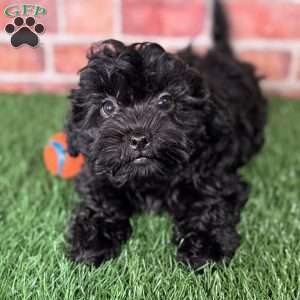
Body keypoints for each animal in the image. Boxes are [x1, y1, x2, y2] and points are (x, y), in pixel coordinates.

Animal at [65, 0, 268, 270]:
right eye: (107, 107)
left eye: (165, 101)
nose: (139, 138)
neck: (150, 179)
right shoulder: (97, 171)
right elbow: (101, 199)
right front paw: (92, 240)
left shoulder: (214, 174)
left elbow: (208, 202)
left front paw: (205, 248)